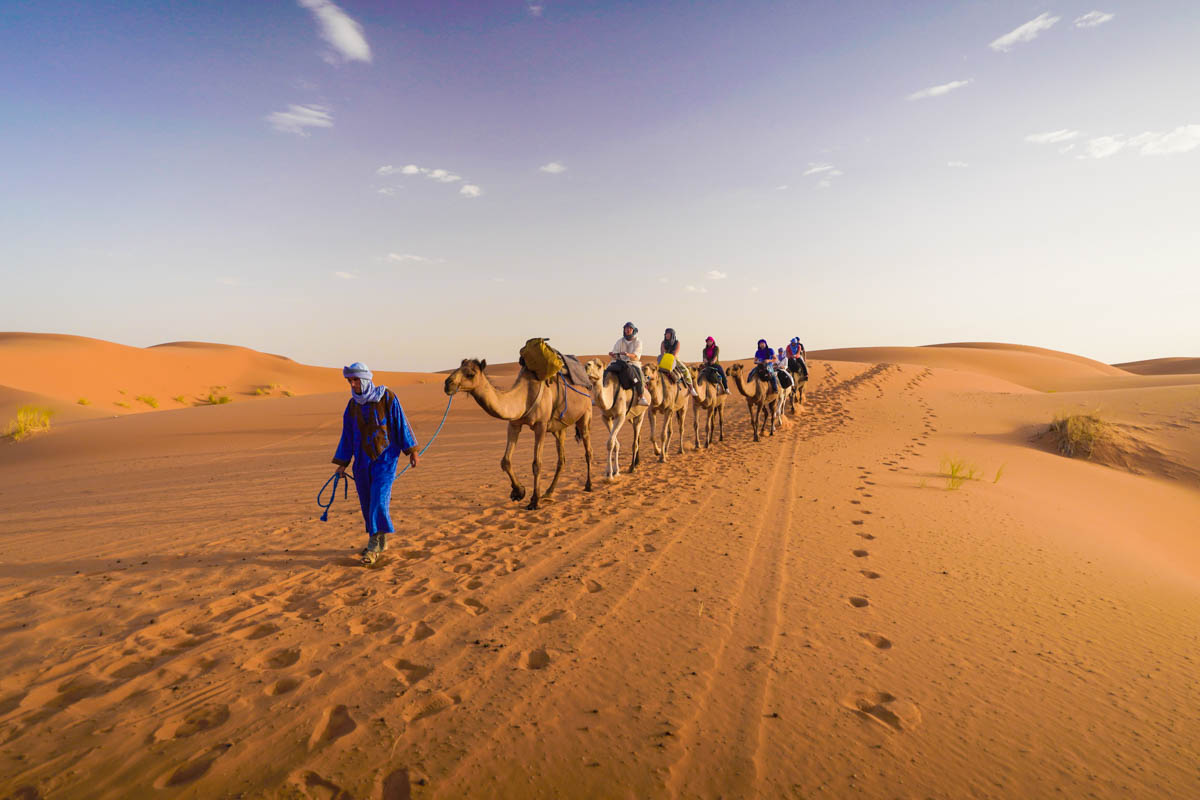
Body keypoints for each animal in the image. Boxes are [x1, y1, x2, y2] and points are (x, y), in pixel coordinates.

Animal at [444, 359, 592, 510]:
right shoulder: (514, 424)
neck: (523, 397)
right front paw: (519, 492)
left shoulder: (541, 425)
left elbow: (536, 464)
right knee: (561, 459)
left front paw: (534, 501)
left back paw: (588, 485)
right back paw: (548, 493)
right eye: (458, 367)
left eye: (471, 374)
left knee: (588, 450)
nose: (447, 383)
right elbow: (505, 461)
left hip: (585, 414)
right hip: (559, 429)